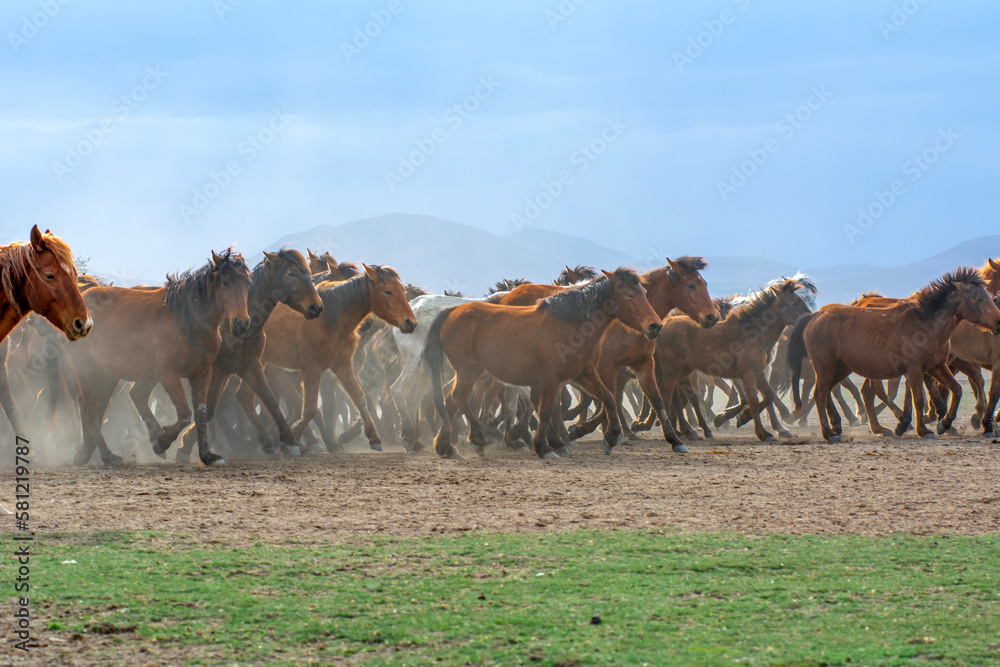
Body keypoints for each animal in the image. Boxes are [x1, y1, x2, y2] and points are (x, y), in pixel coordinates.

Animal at [61, 253, 252, 468]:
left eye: (247, 283)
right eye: (225, 283)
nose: (241, 323)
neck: (187, 320)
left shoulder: (202, 374)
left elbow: (201, 414)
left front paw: (208, 456)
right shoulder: (168, 375)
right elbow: (185, 415)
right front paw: (162, 441)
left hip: (112, 375)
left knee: (112, 404)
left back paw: (86, 453)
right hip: (88, 372)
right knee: (92, 413)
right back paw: (109, 457)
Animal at [254, 264, 418, 448]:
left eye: (402, 291)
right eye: (388, 291)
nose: (410, 322)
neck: (329, 321)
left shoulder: (342, 367)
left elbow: (360, 399)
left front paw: (371, 437)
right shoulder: (312, 371)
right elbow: (312, 409)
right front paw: (298, 435)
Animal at [422, 266, 664, 460]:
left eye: (643, 292)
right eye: (629, 294)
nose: (655, 326)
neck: (572, 326)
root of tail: (450, 312)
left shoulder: (584, 374)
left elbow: (609, 399)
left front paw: (611, 438)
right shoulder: (551, 379)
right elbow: (546, 410)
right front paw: (545, 447)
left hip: (472, 373)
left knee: (452, 400)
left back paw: (446, 447)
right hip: (468, 371)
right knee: (458, 397)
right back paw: (478, 438)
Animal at [788, 266, 1000, 444]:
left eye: (989, 297)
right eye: (978, 299)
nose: (999, 322)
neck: (926, 324)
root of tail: (814, 316)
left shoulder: (936, 366)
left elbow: (956, 389)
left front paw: (944, 423)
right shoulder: (915, 370)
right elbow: (918, 399)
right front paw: (924, 430)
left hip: (840, 368)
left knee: (828, 393)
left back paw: (843, 427)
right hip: (826, 367)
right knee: (820, 394)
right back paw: (829, 433)